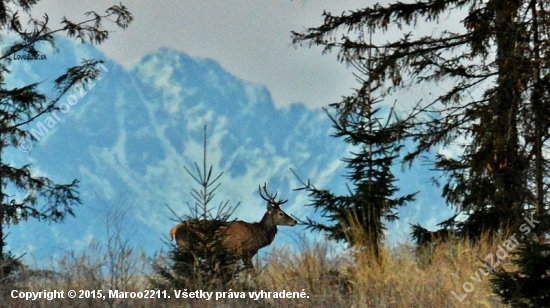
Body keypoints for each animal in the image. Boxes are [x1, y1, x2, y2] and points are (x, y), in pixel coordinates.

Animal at [170, 183, 300, 270]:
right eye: (281, 213)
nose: (295, 221)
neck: (257, 235)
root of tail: (174, 229)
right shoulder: (242, 253)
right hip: (185, 246)